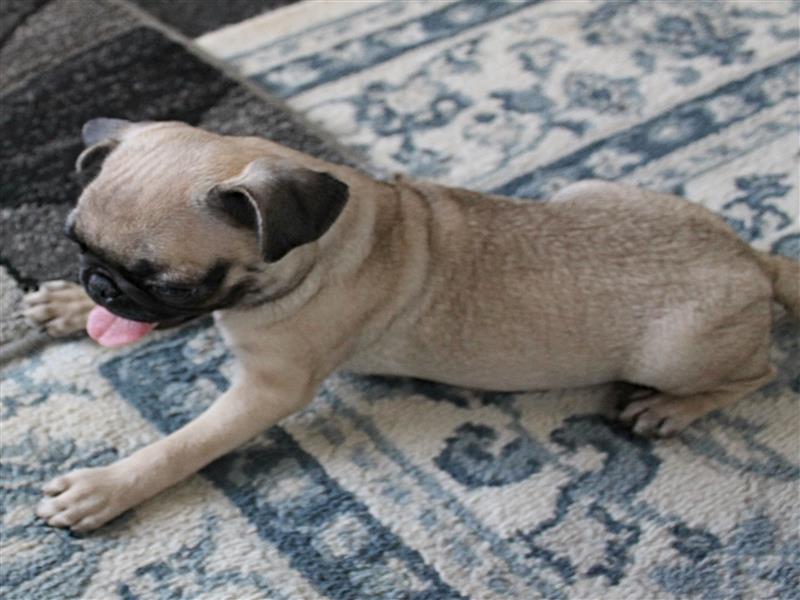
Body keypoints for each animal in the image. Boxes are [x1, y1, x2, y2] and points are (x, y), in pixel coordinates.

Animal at [22, 118, 799, 533]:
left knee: (762, 371)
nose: (99, 282)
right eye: (76, 242)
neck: (322, 244)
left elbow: (184, 444)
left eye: (170, 283)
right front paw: (69, 307)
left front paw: (107, 489)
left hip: (675, 353)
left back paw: (670, 410)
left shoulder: (266, 390)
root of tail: (752, 260)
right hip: (589, 192)